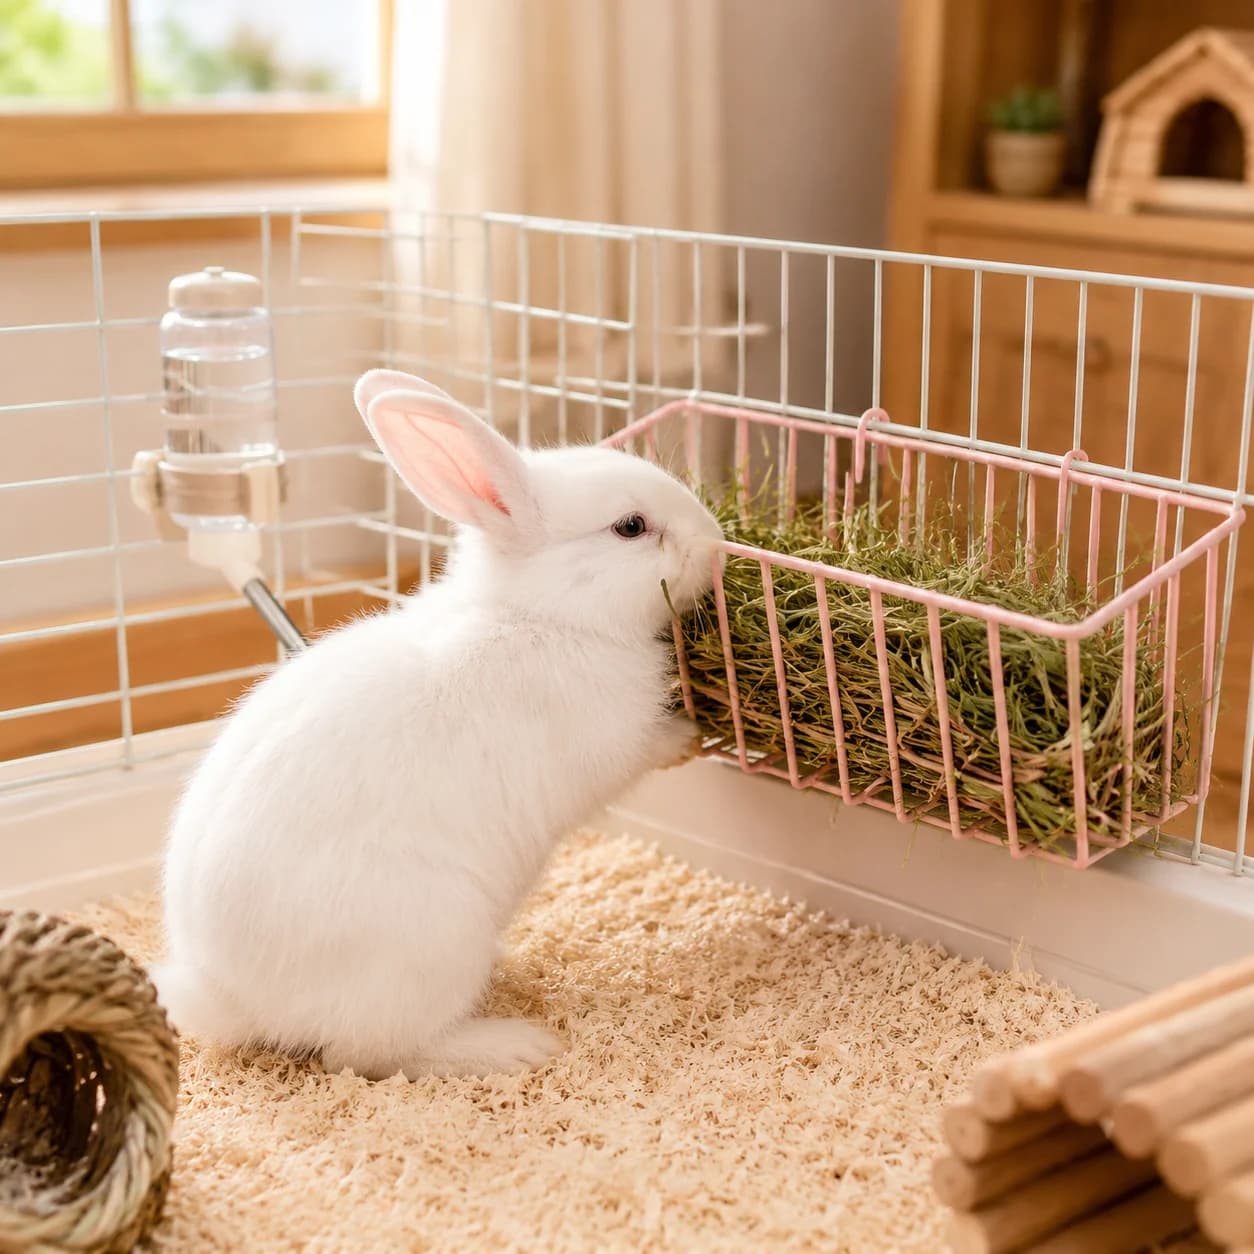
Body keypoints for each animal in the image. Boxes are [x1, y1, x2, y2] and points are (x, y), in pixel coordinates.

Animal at [153, 368, 724, 1081]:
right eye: (631, 526)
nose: (714, 542)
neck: (541, 614)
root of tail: (233, 1000)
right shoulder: (613, 745)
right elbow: (649, 748)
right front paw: (692, 738)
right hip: (431, 944)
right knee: (370, 1053)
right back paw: (512, 1045)